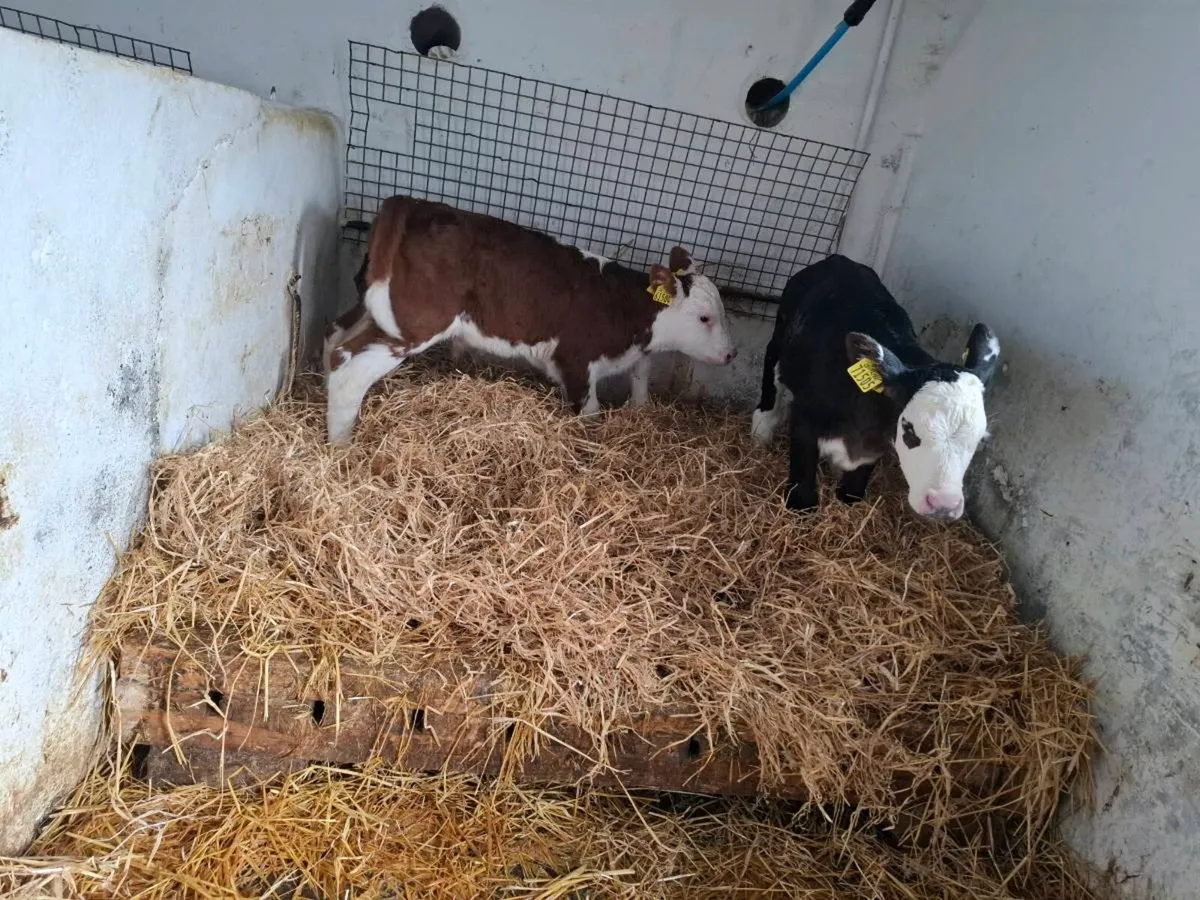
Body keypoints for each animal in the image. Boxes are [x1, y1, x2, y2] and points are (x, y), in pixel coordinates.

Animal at [322, 196, 737, 443]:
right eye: (704, 318)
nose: (731, 354)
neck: (626, 308)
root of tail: (413, 203)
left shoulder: (634, 356)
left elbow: (641, 380)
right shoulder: (576, 362)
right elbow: (590, 414)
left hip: (374, 310)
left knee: (334, 338)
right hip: (414, 324)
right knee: (348, 371)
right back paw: (341, 448)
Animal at [750, 254, 1000, 521]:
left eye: (979, 440)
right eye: (909, 430)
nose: (943, 505)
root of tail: (839, 259)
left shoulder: (872, 449)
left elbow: (853, 489)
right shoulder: (804, 419)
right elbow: (803, 487)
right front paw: (801, 507)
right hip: (780, 338)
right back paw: (761, 430)